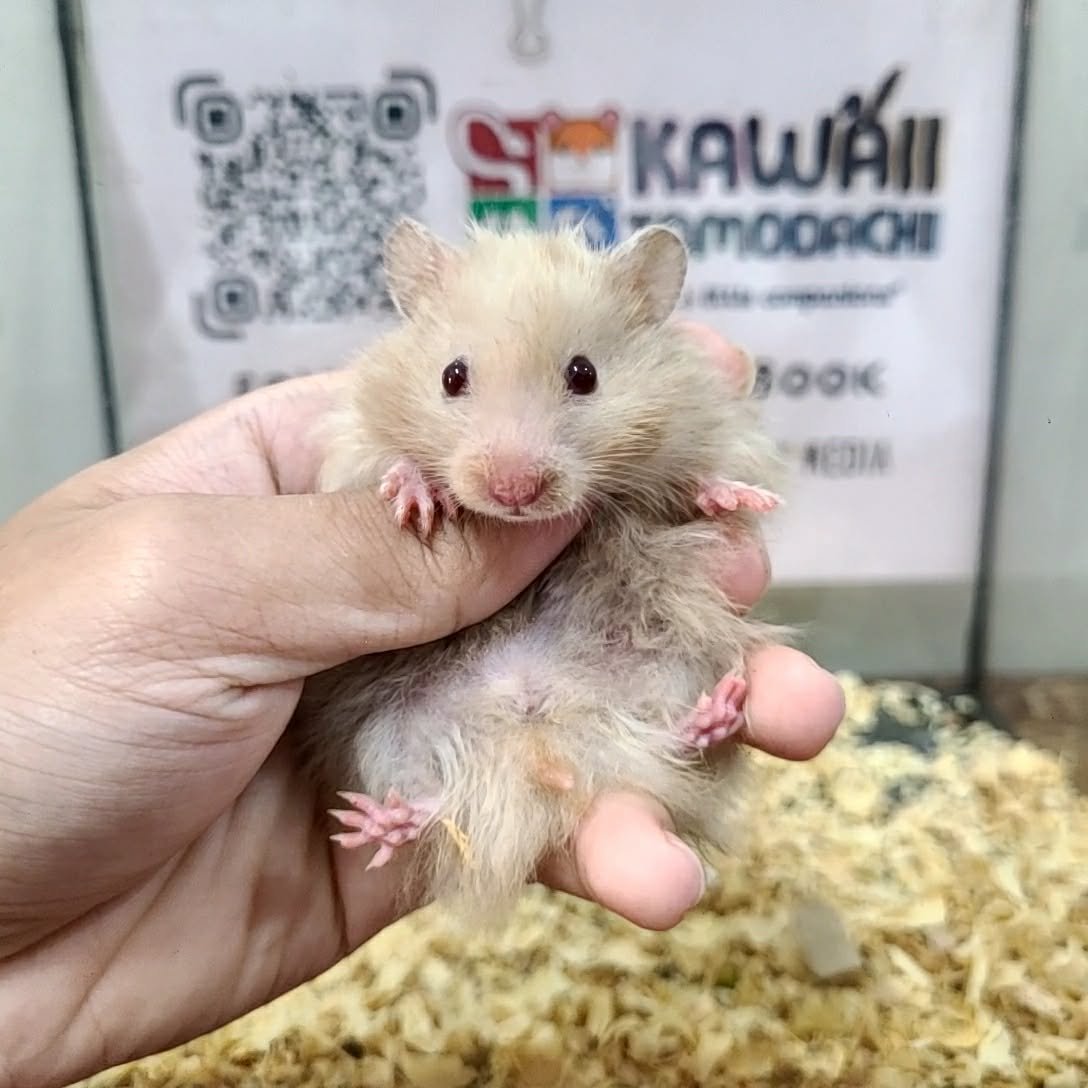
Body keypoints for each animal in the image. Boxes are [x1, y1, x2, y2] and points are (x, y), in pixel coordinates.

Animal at [291, 216, 793, 927]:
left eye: (584, 374)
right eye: (451, 376)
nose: (514, 491)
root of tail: (538, 748)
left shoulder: (702, 425)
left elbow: (702, 478)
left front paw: (741, 499)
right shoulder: (348, 447)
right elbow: (385, 461)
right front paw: (415, 501)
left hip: (670, 669)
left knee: (674, 745)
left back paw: (714, 715)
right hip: (385, 738)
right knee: (436, 804)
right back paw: (383, 824)